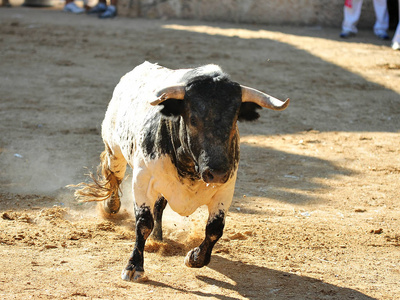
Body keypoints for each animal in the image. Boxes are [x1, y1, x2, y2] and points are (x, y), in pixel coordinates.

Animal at [73, 61, 290, 282]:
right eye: (193, 119)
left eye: (234, 120)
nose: (217, 173)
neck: (190, 167)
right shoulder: (142, 181)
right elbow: (143, 222)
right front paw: (134, 266)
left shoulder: (225, 190)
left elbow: (214, 229)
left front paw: (194, 258)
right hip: (114, 149)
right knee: (114, 175)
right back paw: (111, 206)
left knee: (158, 206)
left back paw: (157, 237)